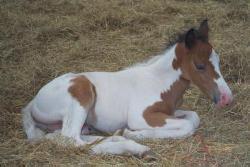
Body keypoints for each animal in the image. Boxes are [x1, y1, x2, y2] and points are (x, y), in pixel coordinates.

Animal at [21, 20, 232, 156]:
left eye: (218, 60)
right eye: (200, 66)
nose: (227, 98)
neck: (159, 82)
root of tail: (33, 101)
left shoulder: (169, 111)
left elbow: (194, 118)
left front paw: (130, 134)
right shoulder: (141, 116)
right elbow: (188, 125)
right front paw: (135, 133)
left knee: (62, 136)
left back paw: (121, 140)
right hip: (81, 92)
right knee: (71, 140)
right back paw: (133, 147)